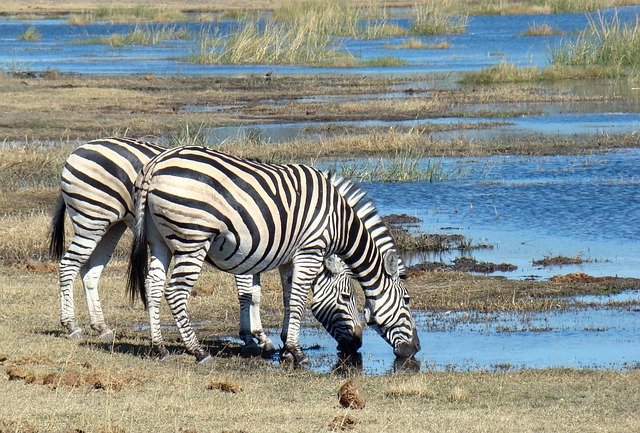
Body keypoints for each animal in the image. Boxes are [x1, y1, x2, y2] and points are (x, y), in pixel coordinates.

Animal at [48, 138, 360, 358]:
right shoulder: (248, 247)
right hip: (92, 217)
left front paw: (261, 338)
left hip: (111, 225)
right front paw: (254, 339)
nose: (356, 344)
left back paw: (101, 328)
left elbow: (256, 294)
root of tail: (81, 148)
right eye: (347, 296)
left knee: (90, 270)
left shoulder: (261, 249)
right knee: (69, 265)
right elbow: (250, 295)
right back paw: (72, 326)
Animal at [129, 145, 420, 364]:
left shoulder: (289, 258)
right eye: (406, 300)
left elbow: (288, 299)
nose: (415, 348)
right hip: (193, 238)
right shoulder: (309, 250)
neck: (340, 221)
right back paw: (198, 351)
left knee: (153, 286)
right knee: (175, 292)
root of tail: (155, 164)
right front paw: (296, 352)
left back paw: (159, 347)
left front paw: (285, 347)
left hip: (159, 239)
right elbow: (298, 299)